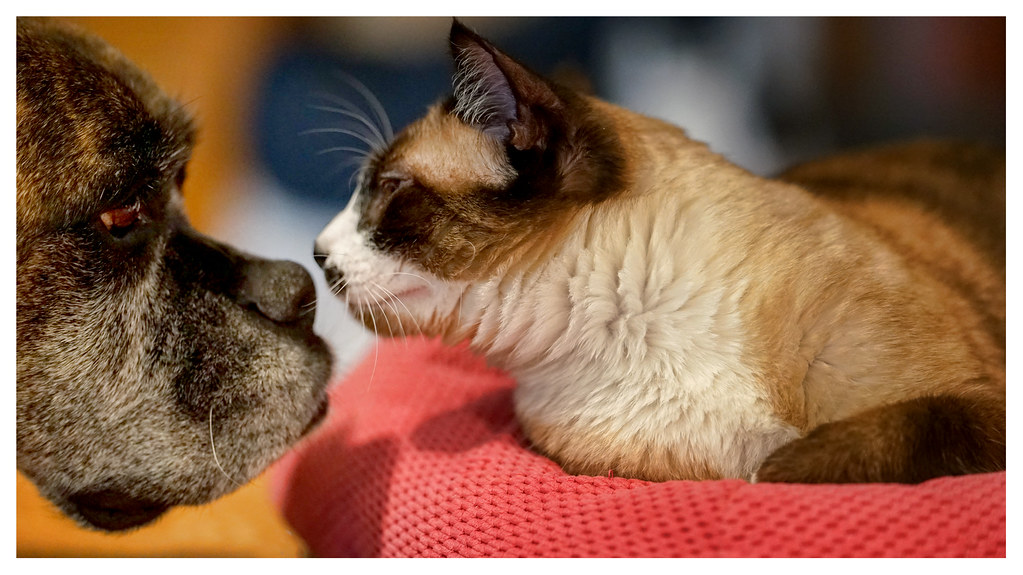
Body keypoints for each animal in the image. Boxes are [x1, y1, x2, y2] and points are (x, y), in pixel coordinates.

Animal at [315, 20, 1002, 480]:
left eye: (388, 189)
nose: (319, 253)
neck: (636, 330)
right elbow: (767, 473)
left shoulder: (979, 404)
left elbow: (814, 458)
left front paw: (780, 466)